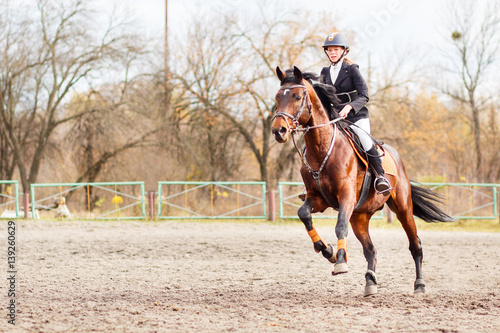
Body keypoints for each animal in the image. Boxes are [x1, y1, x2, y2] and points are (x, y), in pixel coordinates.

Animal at [272, 66, 456, 294]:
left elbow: (340, 226)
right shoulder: (317, 198)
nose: (278, 131)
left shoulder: (346, 197)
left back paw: (419, 285)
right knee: (371, 249)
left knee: (415, 245)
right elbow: (304, 214)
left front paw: (340, 261)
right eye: (277, 97)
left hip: (403, 208)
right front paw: (328, 250)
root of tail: (397, 157)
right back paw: (370, 282)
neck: (322, 147)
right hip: (360, 216)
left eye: (297, 97)